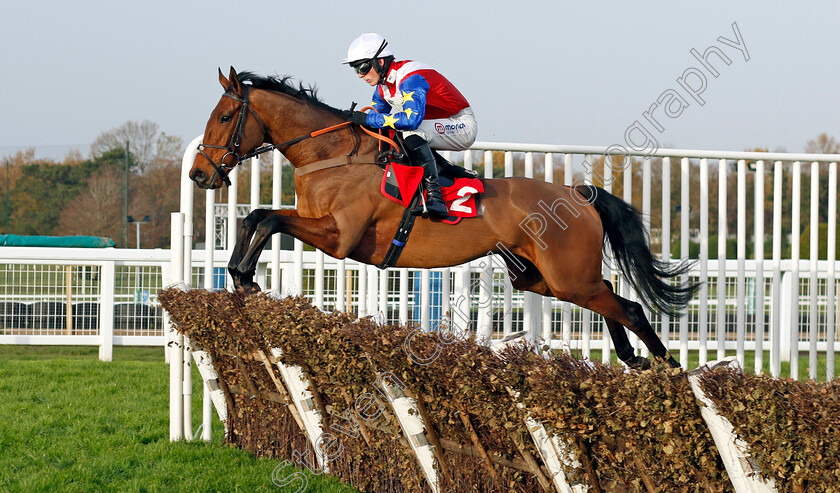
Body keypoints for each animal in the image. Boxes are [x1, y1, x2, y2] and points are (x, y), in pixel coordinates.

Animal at [189, 65, 696, 368]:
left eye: (225, 116)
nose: (198, 174)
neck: (331, 155)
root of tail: (578, 193)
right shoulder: (316, 223)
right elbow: (257, 215)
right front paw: (238, 273)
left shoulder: (339, 238)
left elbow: (268, 220)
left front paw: (245, 277)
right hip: (541, 277)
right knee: (611, 295)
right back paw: (633, 358)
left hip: (567, 276)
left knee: (629, 306)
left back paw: (667, 366)